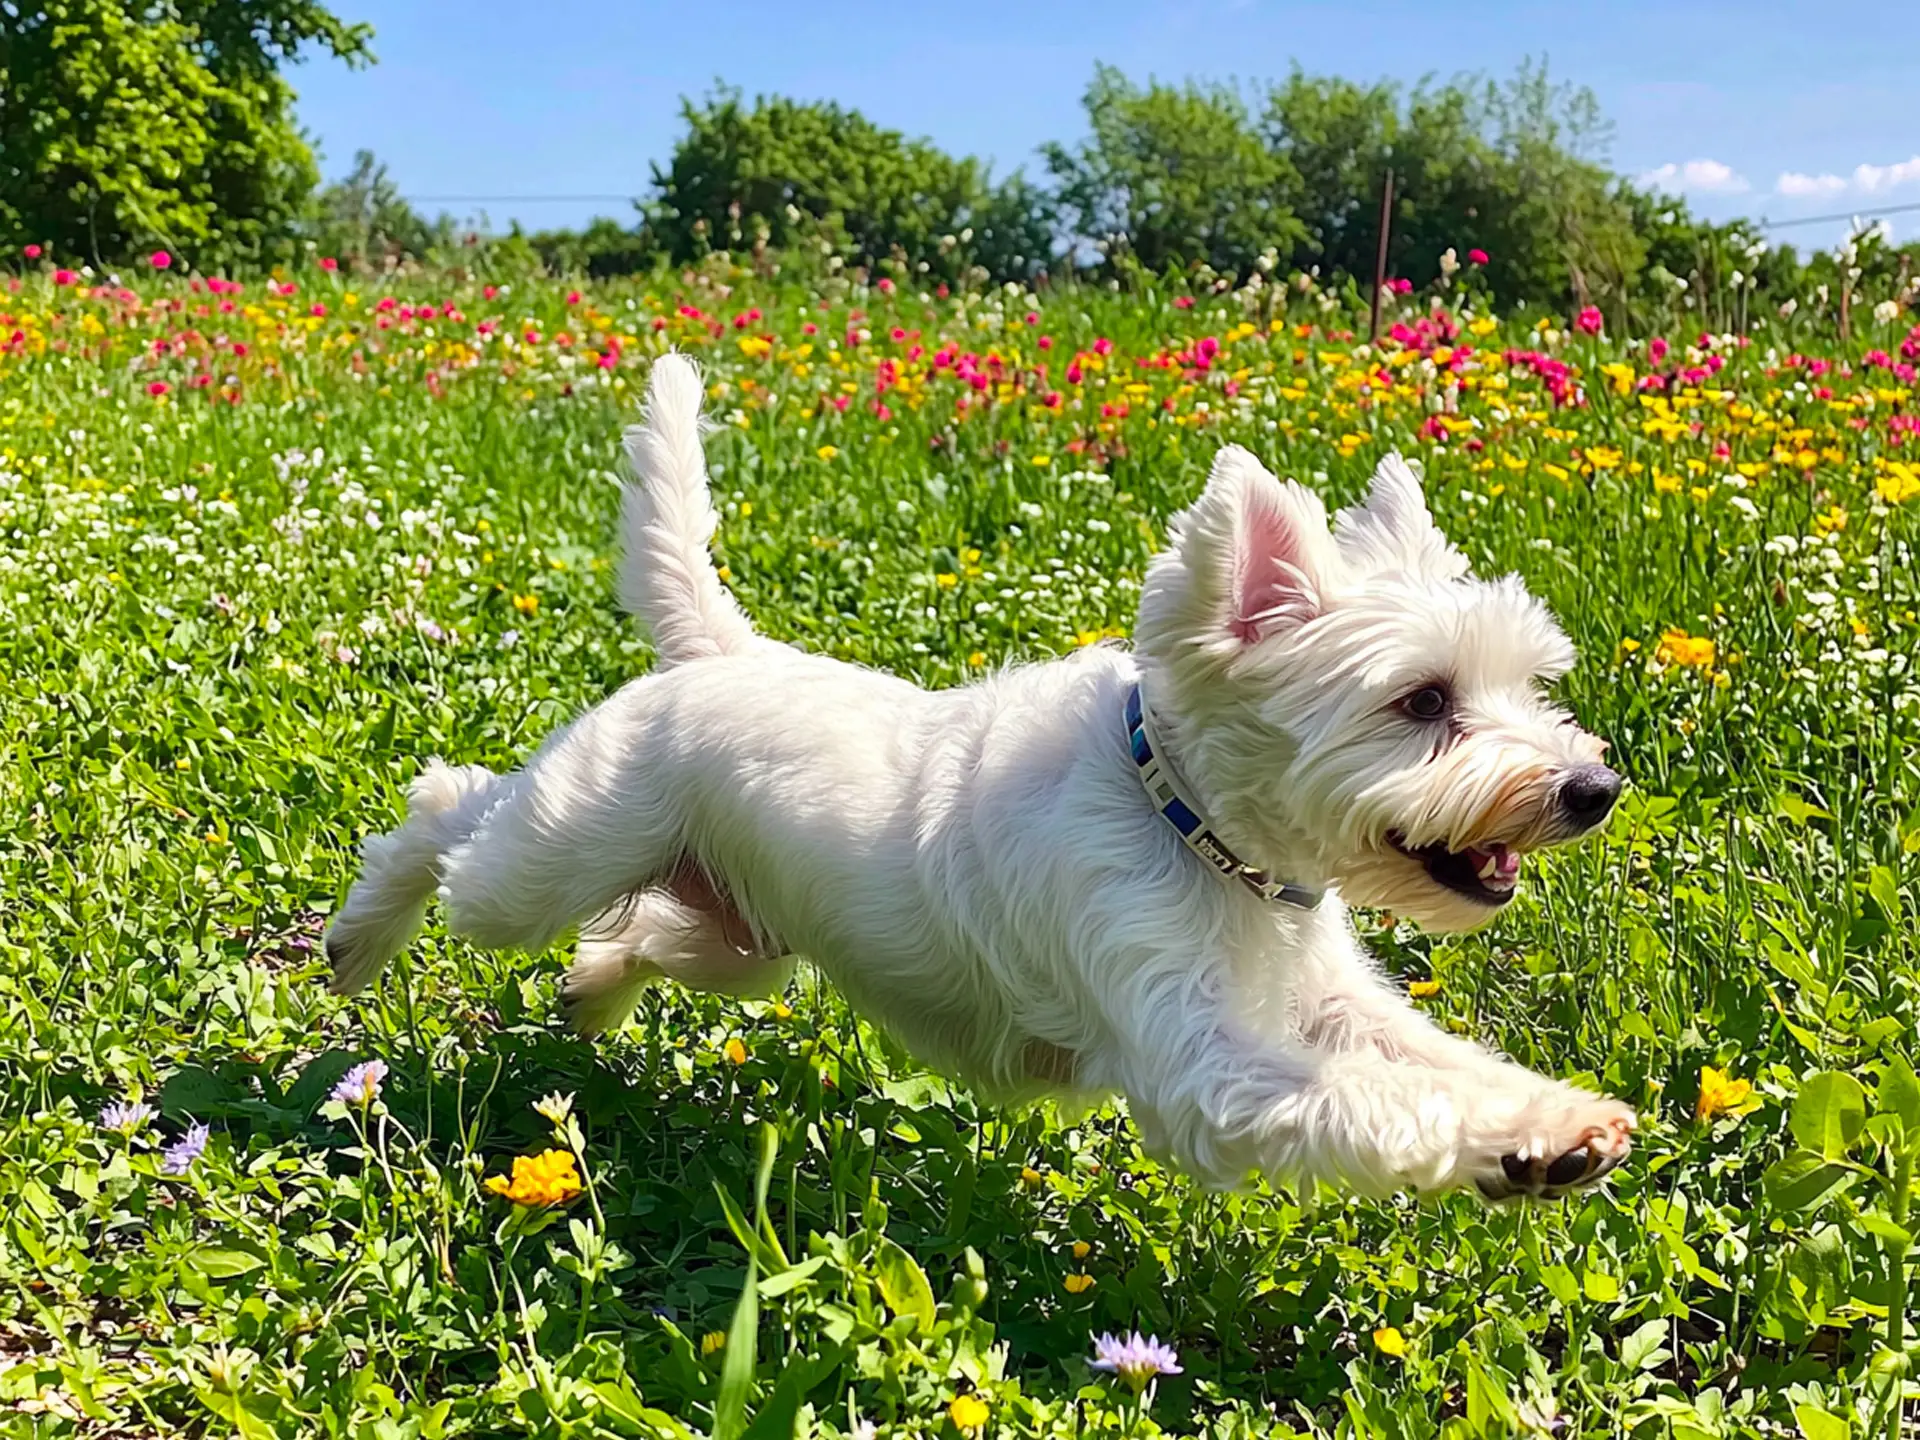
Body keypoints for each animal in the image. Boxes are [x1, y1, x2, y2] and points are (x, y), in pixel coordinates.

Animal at [326, 353, 1635, 1205]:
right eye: (1422, 702)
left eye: (1531, 685)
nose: (1591, 790)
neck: (1191, 829)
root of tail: (718, 652)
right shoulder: (1203, 1063)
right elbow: (1382, 1099)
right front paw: (1526, 1141)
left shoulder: (1324, 1003)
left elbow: (1435, 1061)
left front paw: (1554, 1127)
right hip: (550, 855)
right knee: (443, 813)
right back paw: (357, 941)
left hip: (741, 944)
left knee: (633, 934)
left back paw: (587, 1000)